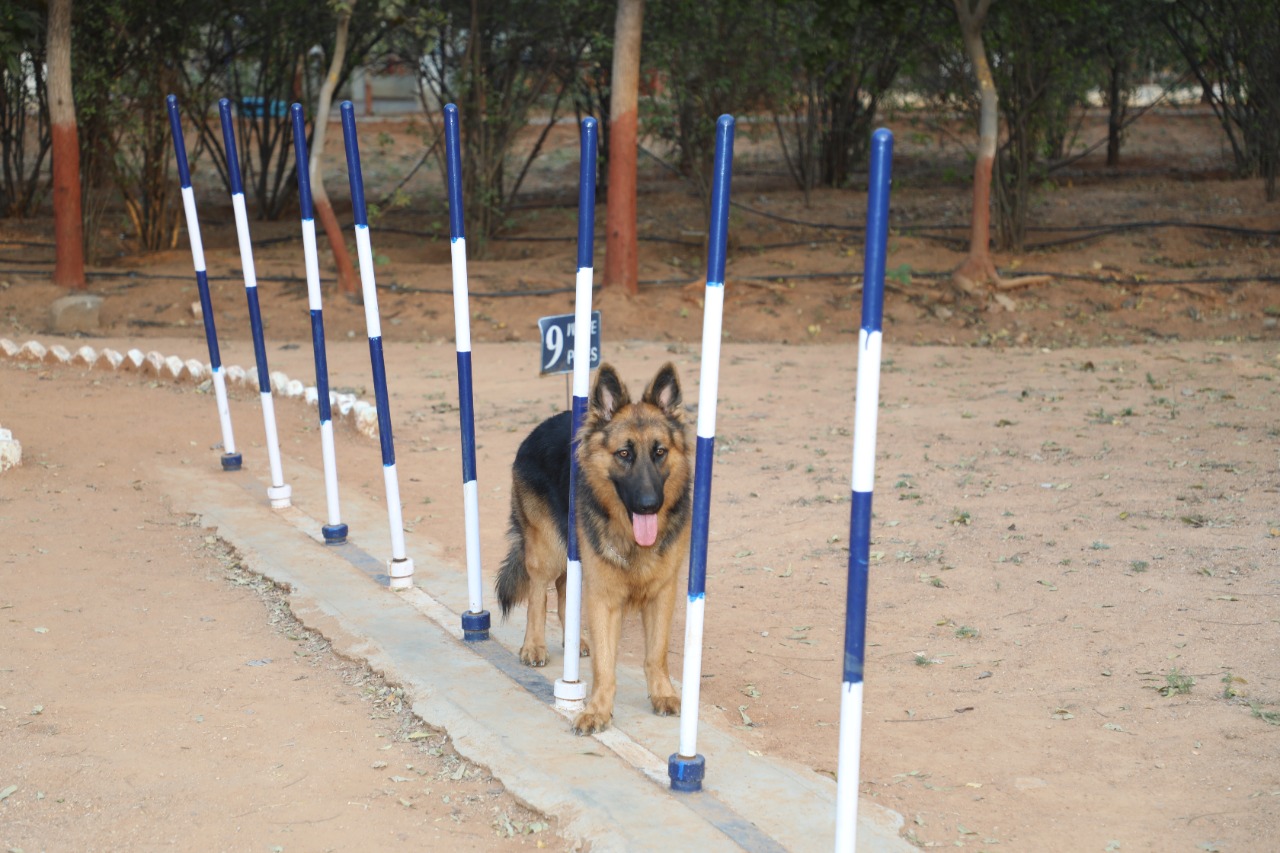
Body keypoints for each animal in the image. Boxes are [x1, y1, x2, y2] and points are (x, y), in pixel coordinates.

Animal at [494, 361, 691, 732]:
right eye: (624, 454)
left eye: (660, 452)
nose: (649, 505)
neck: (631, 537)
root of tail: (537, 429)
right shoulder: (604, 596)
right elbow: (605, 664)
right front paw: (598, 709)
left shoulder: (662, 593)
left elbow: (656, 653)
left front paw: (662, 693)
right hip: (549, 549)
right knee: (539, 592)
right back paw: (534, 645)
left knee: (563, 590)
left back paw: (575, 640)